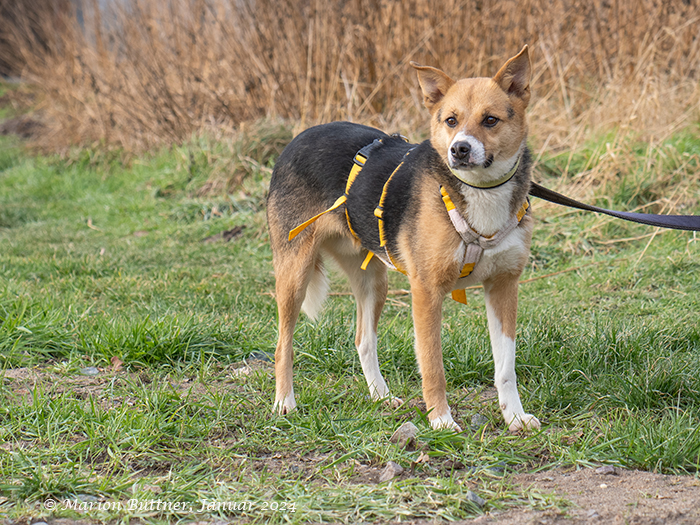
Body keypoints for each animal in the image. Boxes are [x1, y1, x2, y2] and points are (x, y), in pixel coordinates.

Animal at [266, 46, 540, 432]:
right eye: (451, 120)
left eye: (490, 120)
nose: (459, 149)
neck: (481, 194)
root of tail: (298, 138)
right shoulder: (426, 292)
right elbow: (433, 366)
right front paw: (441, 421)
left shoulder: (504, 286)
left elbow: (506, 368)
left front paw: (514, 416)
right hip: (294, 275)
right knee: (282, 346)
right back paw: (284, 403)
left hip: (373, 281)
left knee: (364, 341)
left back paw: (380, 397)